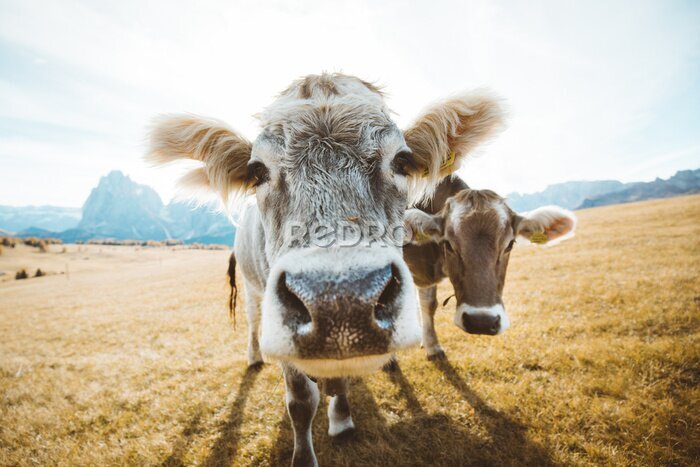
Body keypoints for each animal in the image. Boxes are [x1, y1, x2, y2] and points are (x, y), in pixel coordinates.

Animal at [147, 73, 504, 466]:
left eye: (402, 161)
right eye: (257, 171)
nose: (341, 305)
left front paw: (342, 418)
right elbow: (301, 403)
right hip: (253, 287)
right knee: (253, 320)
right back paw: (254, 357)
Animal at [403, 174, 577, 360]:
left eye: (510, 244)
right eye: (448, 244)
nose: (481, 322)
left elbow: (428, 304)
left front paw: (429, 343)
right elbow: (425, 303)